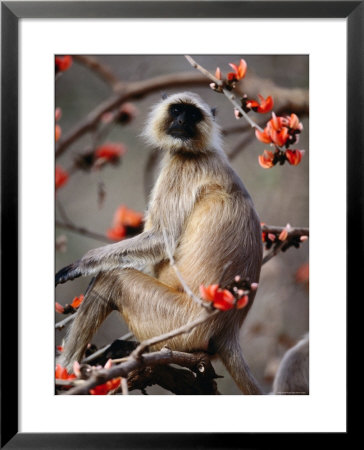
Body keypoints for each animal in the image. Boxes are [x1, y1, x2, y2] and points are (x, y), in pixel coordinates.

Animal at [55, 91, 264, 394]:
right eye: (177, 110)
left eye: (193, 115)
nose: (181, 121)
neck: (198, 151)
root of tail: (228, 330)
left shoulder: (182, 167)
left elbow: (160, 239)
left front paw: (82, 265)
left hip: (178, 323)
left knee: (114, 279)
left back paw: (66, 372)